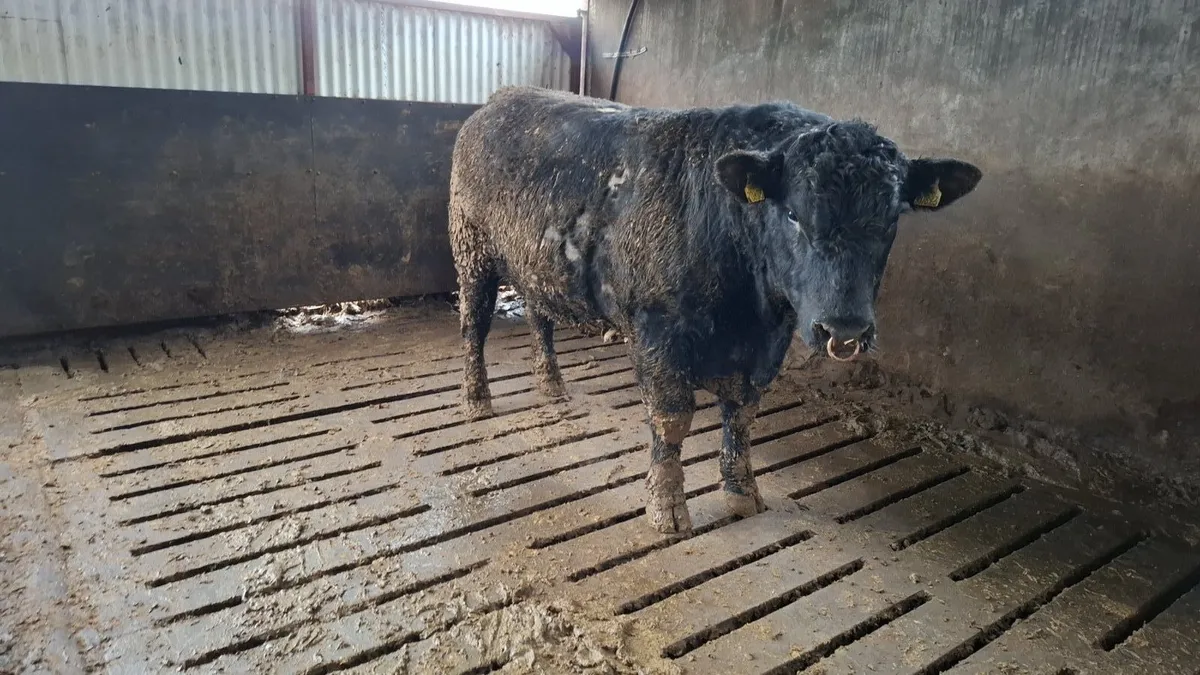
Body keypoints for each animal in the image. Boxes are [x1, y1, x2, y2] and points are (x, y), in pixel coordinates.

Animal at [449, 86, 981, 534]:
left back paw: (552, 385)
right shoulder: (657, 331)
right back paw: (476, 400)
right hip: (471, 250)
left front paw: (743, 492)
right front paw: (666, 509)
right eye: (792, 213)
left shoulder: (766, 344)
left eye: (892, 219)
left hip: (533, 263)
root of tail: (500, 98)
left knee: (539, 317)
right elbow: (671, 418)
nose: (844, 329)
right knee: (474, 324)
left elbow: (742, 414)